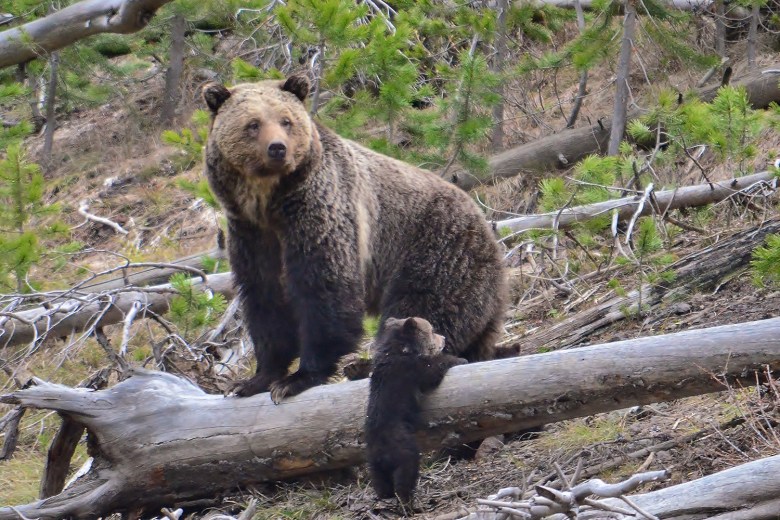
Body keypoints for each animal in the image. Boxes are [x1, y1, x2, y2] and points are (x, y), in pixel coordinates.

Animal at [201, 76, 506, 402]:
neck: (268, 203)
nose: (278, 148)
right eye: (253, 124)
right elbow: (264, 298)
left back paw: (371, 364)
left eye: (286, 120)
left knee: (422, 309)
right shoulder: (251, 233)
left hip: (437, 249)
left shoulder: (320, 212)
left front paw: (298, 378)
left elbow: (324, 288)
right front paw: (254, 379)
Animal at [368, 316, 470, 504]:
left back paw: (385, 495)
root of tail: (381, 452)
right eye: (432, 331)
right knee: (406, 471)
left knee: (380, 481)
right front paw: (459, 359)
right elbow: (433, 370)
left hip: (373, 462)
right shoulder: (412, 370)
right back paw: (408, 499)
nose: (443, 338)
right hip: (402, 447)